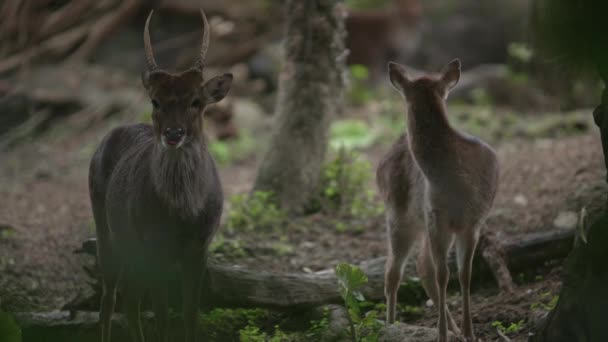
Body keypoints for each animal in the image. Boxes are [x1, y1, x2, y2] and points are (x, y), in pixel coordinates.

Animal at [89, 8, 232, 342]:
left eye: (196, 101)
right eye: (155, 100)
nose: (173, 133)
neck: (181, 215)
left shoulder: (200, 246)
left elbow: (190, 315)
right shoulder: (154, 247)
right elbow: (164, 317)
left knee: (130, 300)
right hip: (107, 229)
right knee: (110, 298)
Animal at [378, 60, 502, 340]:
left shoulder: (474, 221)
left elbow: (464, 274)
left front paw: (469, 332)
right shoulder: (437, 216)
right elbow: (443, 275)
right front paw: (442, 334)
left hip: (422, 222)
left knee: (421, 265)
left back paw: (452, 327)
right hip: (399, 214)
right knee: (393, 272)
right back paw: (390, 325)